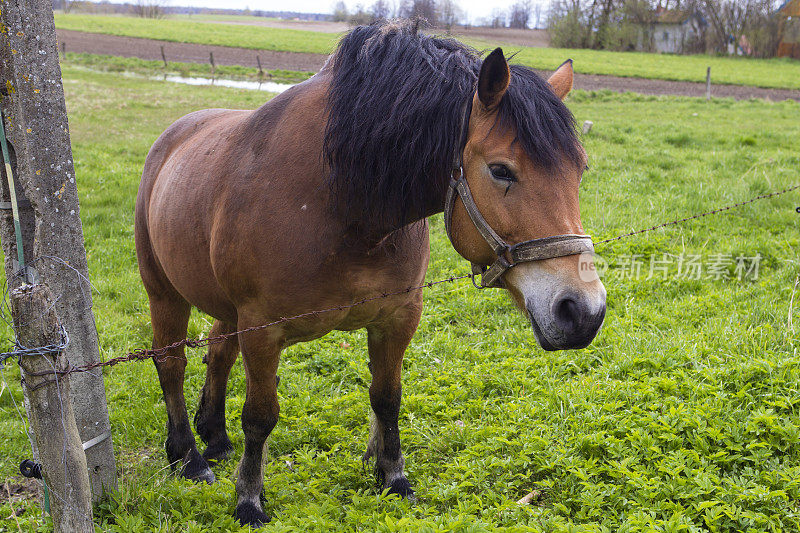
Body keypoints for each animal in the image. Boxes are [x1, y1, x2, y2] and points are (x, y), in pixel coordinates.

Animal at [134, 21, 608, 528]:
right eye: (501, 170)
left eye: (580, 169)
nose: (583, 311)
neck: (343, 204)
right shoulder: (262, 329)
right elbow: (260, 416)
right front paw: (249, 500)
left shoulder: (397, 317)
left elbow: (387, 398)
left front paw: (392, 476)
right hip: (163, 293)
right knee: (171, 363)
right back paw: (188, 456)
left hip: (224, 306)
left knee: (218, 351)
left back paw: (216, 438)